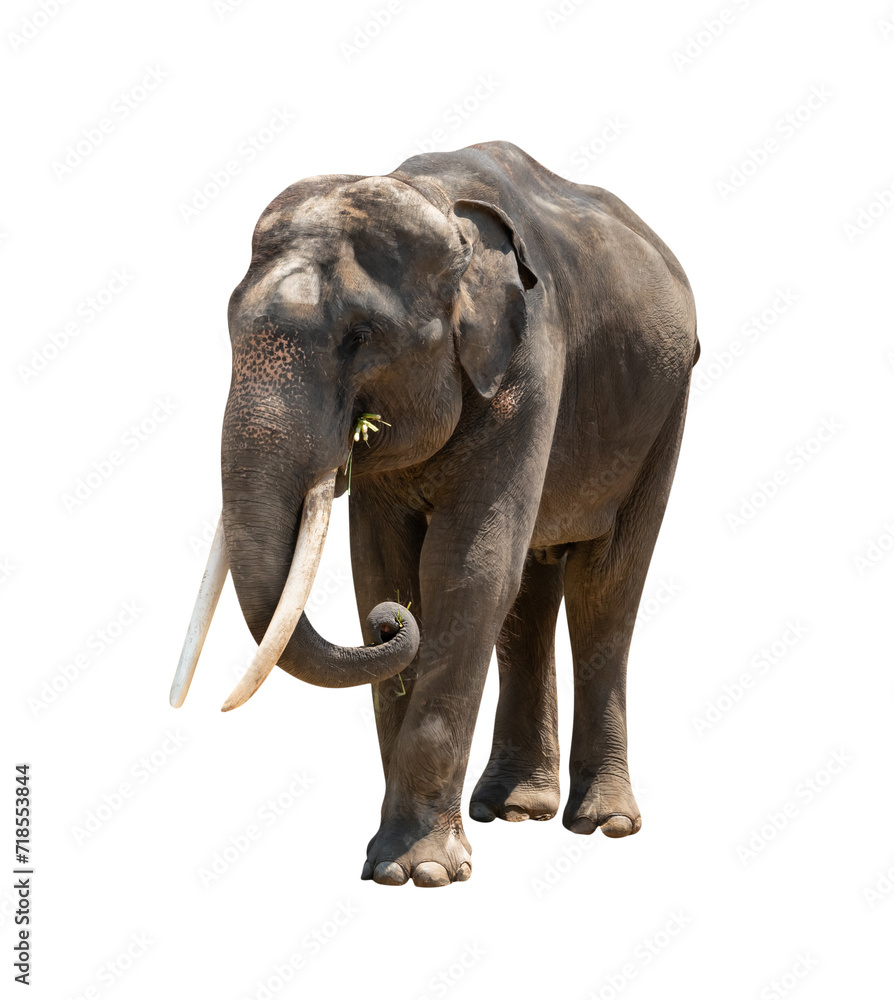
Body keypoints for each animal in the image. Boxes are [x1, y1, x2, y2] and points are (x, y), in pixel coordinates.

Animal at [170, 140, 698, 887]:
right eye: (227, 325)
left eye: (361, 335)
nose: (389, 627)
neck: (438, 203)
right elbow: (382, 568)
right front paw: (387, 860)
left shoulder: (532, 364)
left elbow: (464, 569)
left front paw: (415, 872)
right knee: (530, 590)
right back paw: (517, 810)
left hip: (664, 405)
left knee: (605, 588)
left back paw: (605, 824)